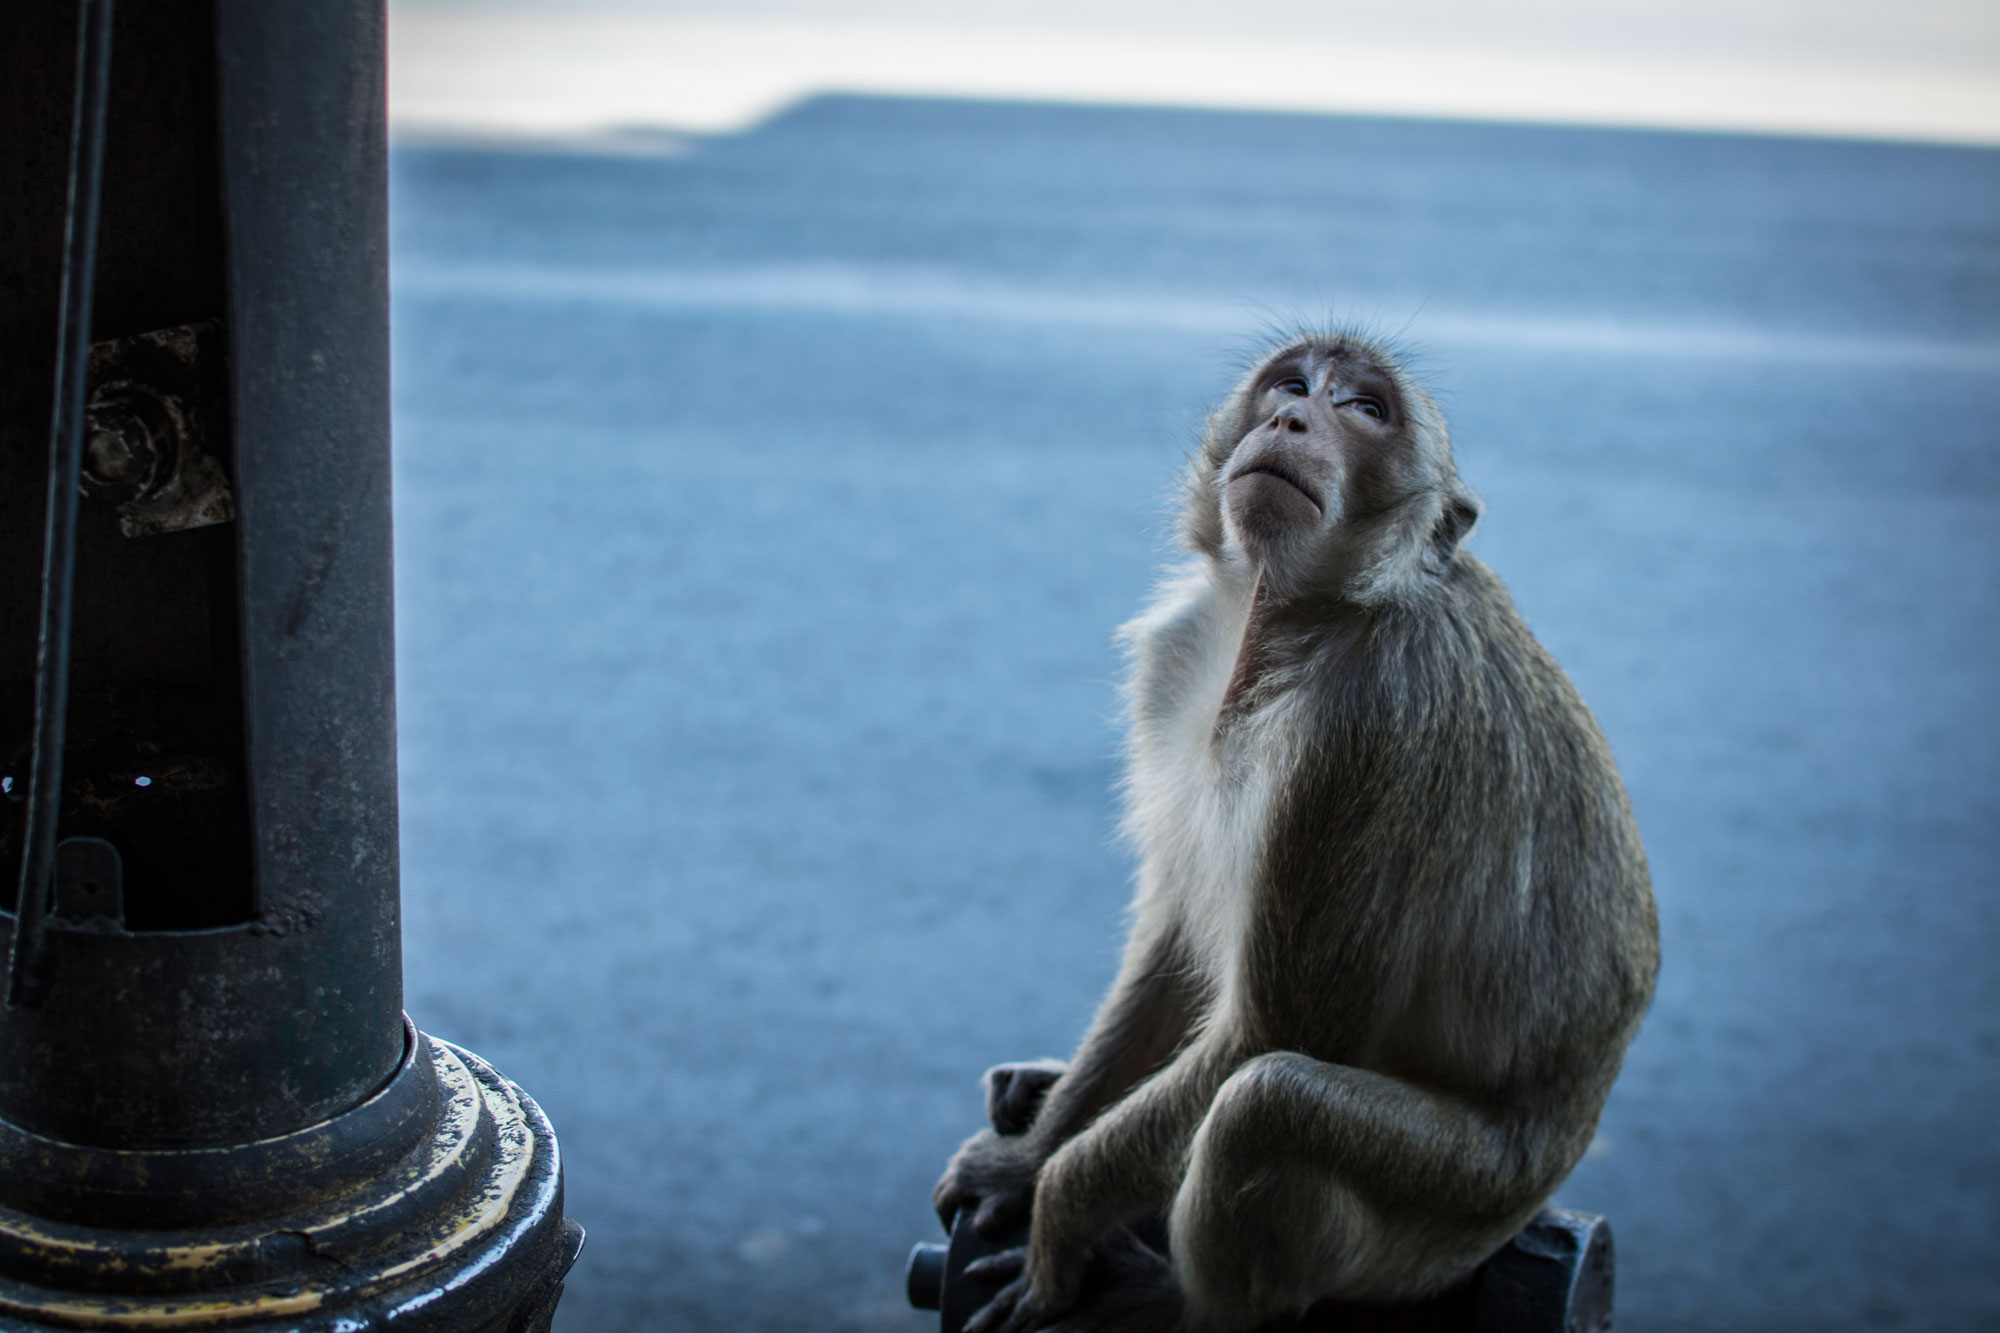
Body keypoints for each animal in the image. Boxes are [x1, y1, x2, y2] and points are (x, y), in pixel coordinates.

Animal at [932, 332, 1656, 1328]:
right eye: (1293, 382)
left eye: (1366, 410)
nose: (1291, 418)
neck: (1289, 620)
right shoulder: (1177, 657)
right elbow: (1174, 946)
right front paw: (1024, 1160)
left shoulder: (1369, 730)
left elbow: (1272, 1029)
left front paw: (1057, 1215)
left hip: (1446, 1214)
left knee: (1267, 1106)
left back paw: (1183, 1302)